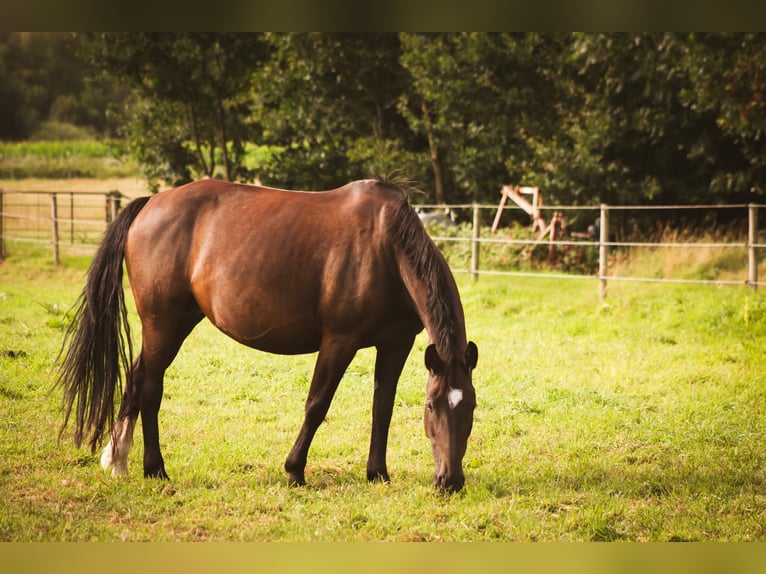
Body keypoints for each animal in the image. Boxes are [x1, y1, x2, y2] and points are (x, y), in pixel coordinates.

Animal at [57, 177, 478, 492]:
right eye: (432, 407)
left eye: (471, 406)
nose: (450, 481)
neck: (386, 248)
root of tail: (149, 204)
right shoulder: (339, 341)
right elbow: (317, 404)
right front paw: (294, 470)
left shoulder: (396, 344)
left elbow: (383, 407)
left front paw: (377, 473)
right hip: (163, 323)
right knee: (150, 388)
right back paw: (154, 468)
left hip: (176, 322)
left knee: (137, 376)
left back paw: (117, 460)